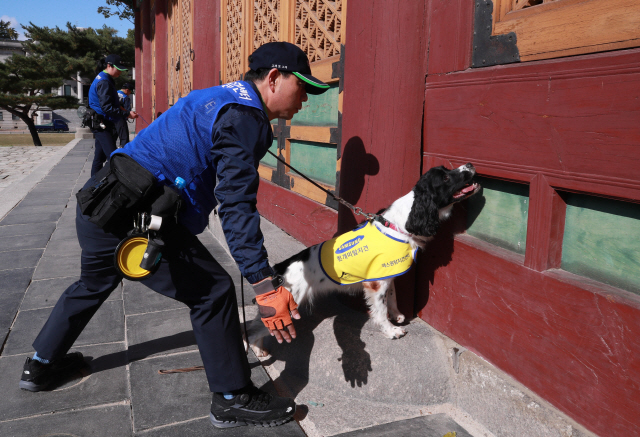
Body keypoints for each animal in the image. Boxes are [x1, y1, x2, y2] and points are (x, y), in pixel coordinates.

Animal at [250, 162, 480, 356]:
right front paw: (391, 330)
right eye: (445, 178)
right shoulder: (376, 284)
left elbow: (392, 298)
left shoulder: (388, 275)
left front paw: (396, 315)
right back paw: (257, 349)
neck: (400, 224)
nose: (470, 164)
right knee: (255, 329)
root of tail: (280, 270)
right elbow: (380, 309)